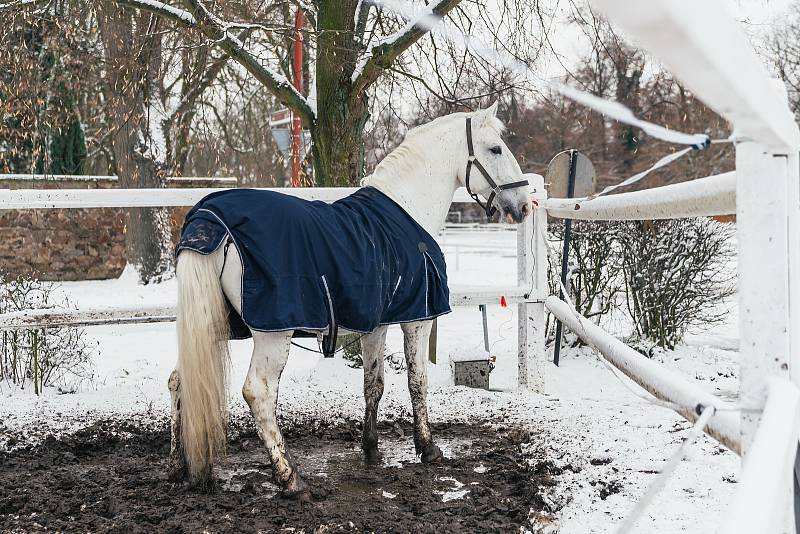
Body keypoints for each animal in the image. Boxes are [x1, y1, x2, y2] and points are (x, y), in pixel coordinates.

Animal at [168, 102, 532, 500]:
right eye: (495, 149)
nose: (524, 206)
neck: (407, 210)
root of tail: (210, 220)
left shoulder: (377, 324)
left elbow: (374, 384)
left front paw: (371, 450)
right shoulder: (417, 318)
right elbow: (417, 380)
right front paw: (428, 448)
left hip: (210, 324)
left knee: (179, 380)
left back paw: (182, 469)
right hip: (273, 334)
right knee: (258, 392)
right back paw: (290, 478)